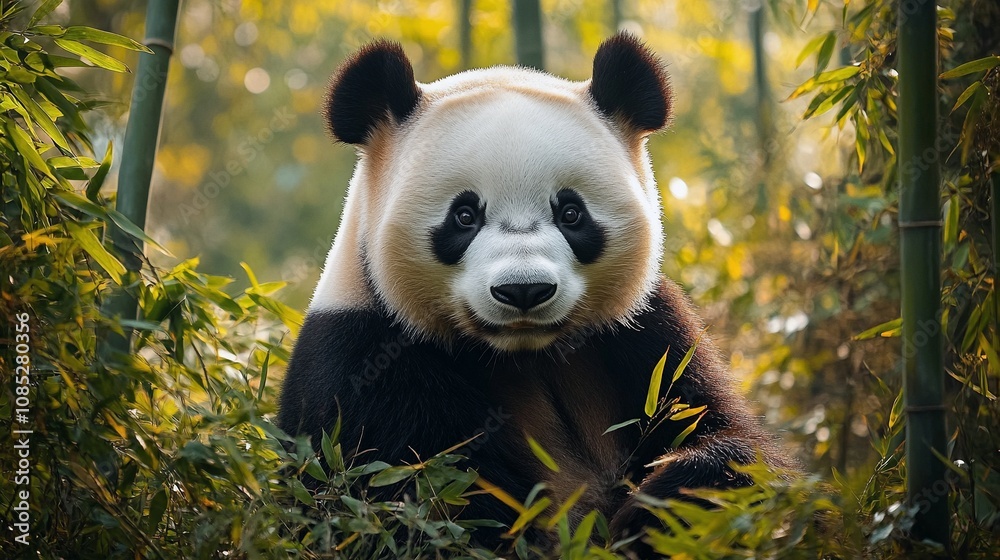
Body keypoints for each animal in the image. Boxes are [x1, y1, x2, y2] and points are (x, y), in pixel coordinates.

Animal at [278, 32, 793, 550]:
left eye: (571, 213)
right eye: (464, 215)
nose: (524, 290)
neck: (525, 353)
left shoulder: (646, 333)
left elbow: (725, 438)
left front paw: (664, 502)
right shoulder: (366, 368)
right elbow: (437, 507)